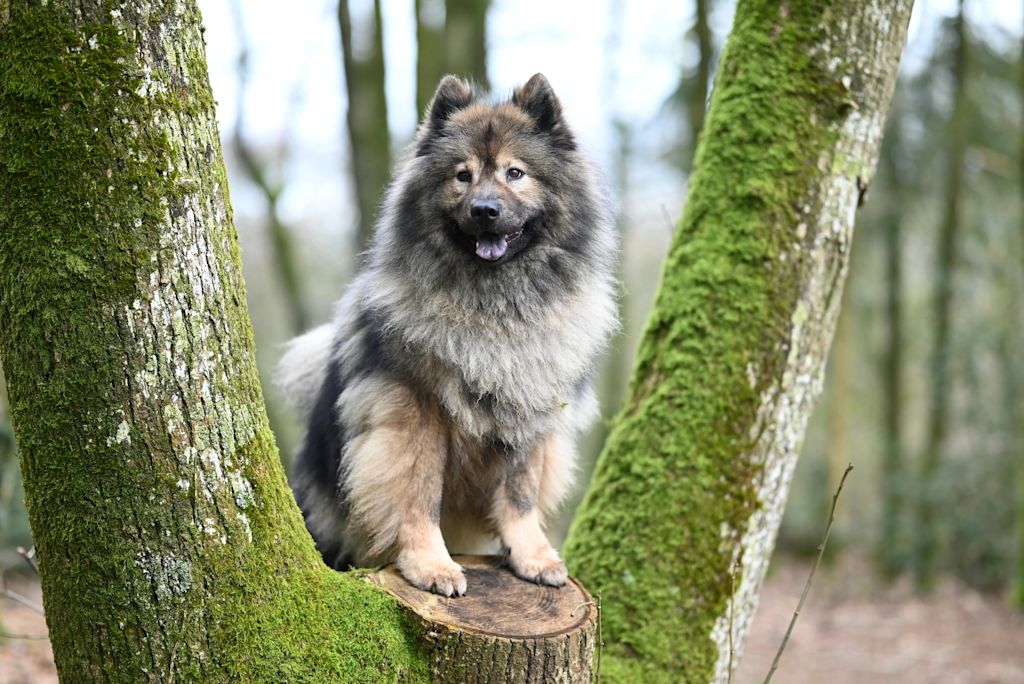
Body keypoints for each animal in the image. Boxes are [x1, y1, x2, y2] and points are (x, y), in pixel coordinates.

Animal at [276, 73, 618, 596]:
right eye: (462, 175)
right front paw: (430, 565)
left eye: (515, 173)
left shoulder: (531, 408)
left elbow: (520, 496)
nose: (485, 210)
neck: (495, 309)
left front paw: (533, 555)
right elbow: (418, 493)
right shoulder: (414, 410)